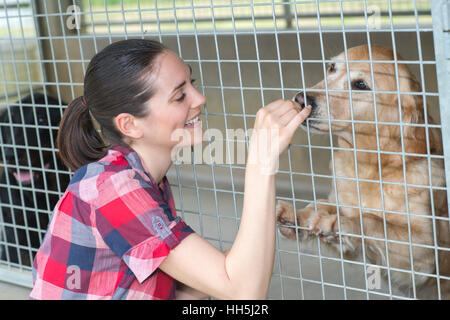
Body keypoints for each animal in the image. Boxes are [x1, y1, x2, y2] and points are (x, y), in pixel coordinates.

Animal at [278, 45, 450, 300]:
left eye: (360, 85)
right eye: (332, 67)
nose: (301, 99)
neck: (370, 169)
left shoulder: (424, 253)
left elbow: (372, 221)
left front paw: (338, 222)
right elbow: (320, 204)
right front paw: (298, 216)